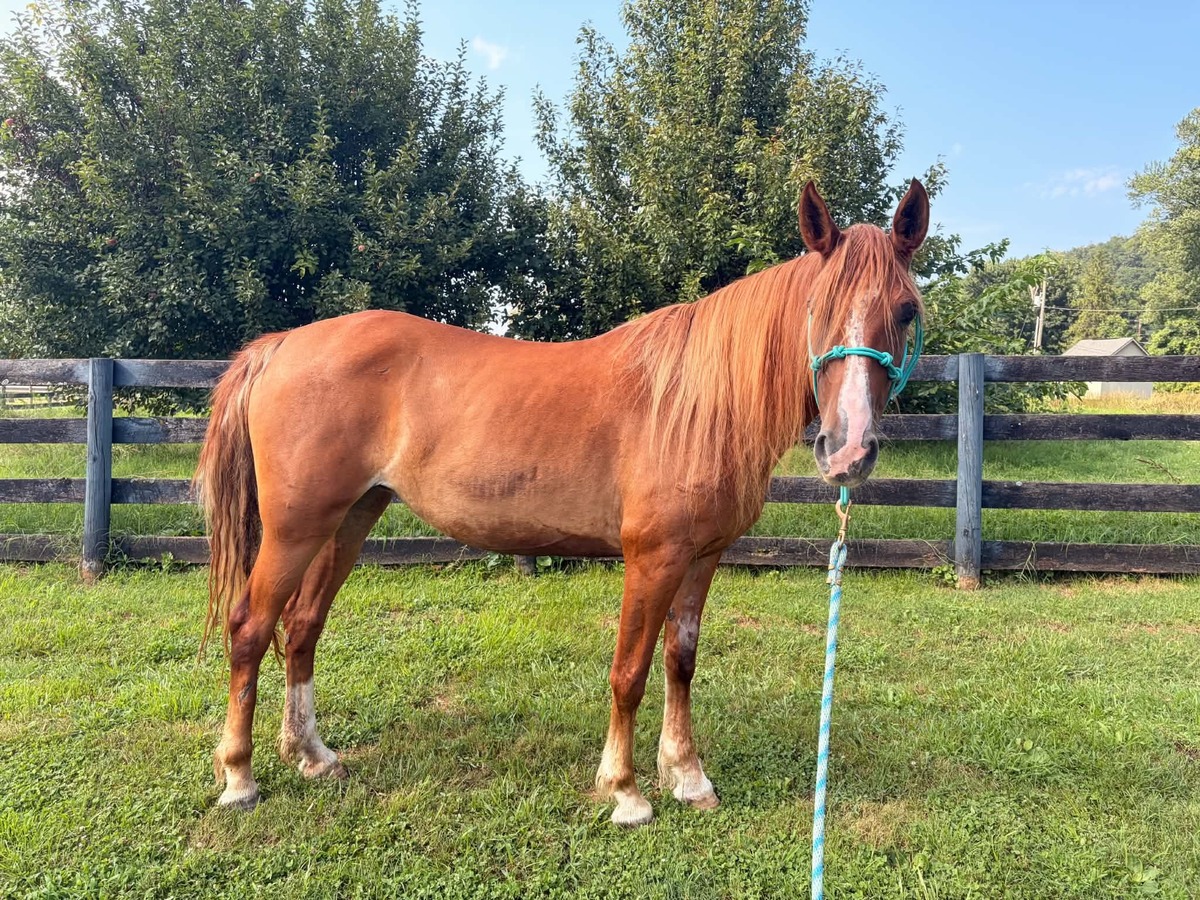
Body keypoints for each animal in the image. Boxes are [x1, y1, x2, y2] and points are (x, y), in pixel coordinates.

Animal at [195, 179, 929, 826]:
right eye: (817, 310)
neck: (694, 401)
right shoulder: (653, 558)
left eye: (906, 312)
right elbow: (630, 671)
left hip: (350, 519)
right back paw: (239, 778)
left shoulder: (702, 557)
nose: (849, 449)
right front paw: (626, 791)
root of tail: (281, 346)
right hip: (295, 528)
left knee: (303, 627)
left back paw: (313, 756)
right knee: (250, 628)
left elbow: (681, 662)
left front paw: (688, 777)